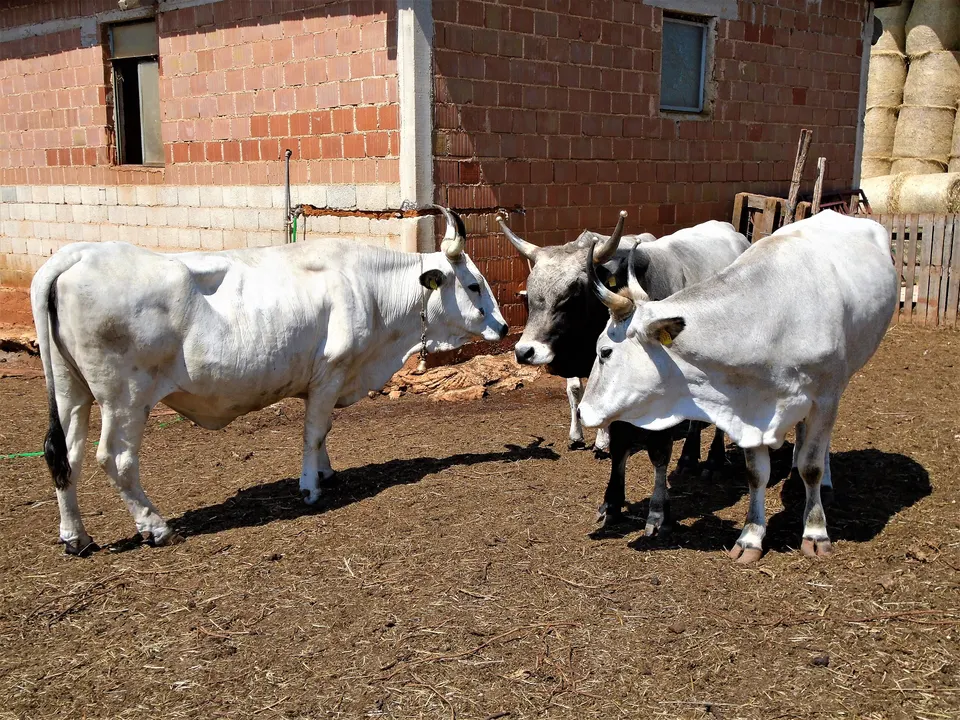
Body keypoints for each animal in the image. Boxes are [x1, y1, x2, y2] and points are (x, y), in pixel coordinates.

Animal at [31, 206, 508, 556]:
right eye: (472, 285)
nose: (504, 327)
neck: (369, 290)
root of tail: (79, 254)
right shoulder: (331, 371)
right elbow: (314, 432)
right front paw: (311, 487)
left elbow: (323, 431)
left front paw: (327, 471)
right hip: (125, 397)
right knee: (115, 458)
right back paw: (156, 526)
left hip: (72, 389)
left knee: (64, 455)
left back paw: (76, 538)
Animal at [499, 211, 749, 534]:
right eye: (530, 293)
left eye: (572, 293)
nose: (525, 351)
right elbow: (618, 443)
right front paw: (612, 503)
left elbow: (659, 451)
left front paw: (658, 512)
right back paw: (689, 457)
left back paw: (713, 460)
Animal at [578, 210, 897, 563]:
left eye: (605, 351)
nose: (582, 411)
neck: (768, 322)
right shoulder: (749, 406)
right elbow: (756, 474)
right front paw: (750, 537)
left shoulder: (824, 397)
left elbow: (811, 466)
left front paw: (815, 532)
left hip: (842, 378)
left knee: (819, 446)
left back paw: (823, 479)